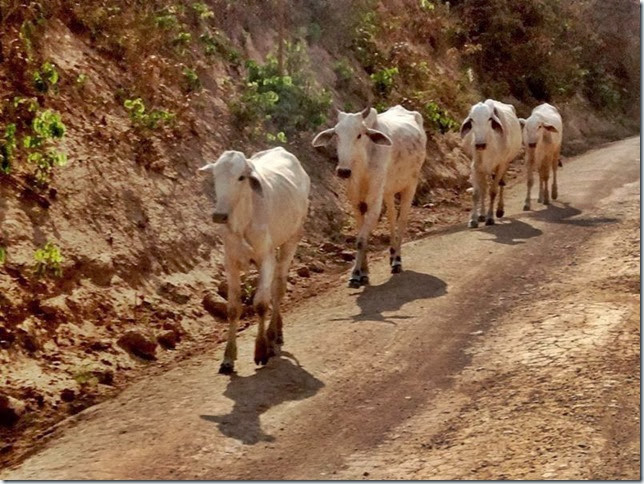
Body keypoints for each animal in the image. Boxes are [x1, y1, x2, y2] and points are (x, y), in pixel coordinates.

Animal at [200, 146, 314, 372]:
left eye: (241, 177)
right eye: (215, 175)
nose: (219, 215)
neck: (242, 221)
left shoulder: (266, 258)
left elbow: (261, 304)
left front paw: (261, 350)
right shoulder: (230, 262)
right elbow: (233, 308)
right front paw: (228, 358)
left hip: (292, 239)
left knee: (278, 287)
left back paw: (273, 334)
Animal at [314, 106, 428, 288]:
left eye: (359, 135)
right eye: (336, 134)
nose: (343, 171)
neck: (363, 165)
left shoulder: (374, 203)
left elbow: (361, 240)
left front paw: (355, 275)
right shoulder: (356, 203)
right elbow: (363, 238)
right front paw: (364, 273)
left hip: (411, 184)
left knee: (402, 219)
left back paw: (397, 260)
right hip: (388, 191)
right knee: (392, 217)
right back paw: (392, 254)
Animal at [460, 99, 520, 228]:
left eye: (489, 119)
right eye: (471, 119)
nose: (480, 144)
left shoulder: (501, 165)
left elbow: (493, 191)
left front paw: (490, 217)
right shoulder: (476, 167)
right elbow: (477, 193)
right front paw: (473, 219)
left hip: (506, 164)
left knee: (501, 184)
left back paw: (499, 210)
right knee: (484, 188)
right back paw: (482, 214)